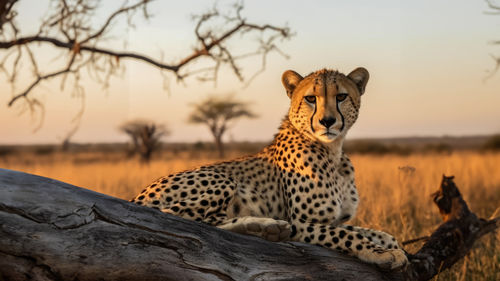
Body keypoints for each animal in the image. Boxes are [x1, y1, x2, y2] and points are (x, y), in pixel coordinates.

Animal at [131, 66, 408, 270]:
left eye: (341, 97)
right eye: (310, 99)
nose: (327, 121)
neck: (333, 152)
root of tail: (136, 197)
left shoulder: (333, 220)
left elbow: (374, 231)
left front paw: (390, 244)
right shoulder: (302, 222)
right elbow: (350, 236)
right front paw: (381, 253)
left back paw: (263, 227)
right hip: (222, 179)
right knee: (179, 216)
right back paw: (265, 227)